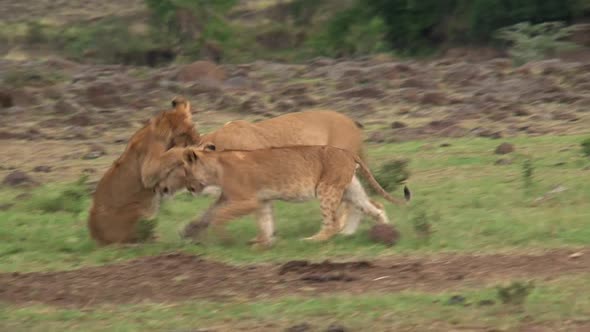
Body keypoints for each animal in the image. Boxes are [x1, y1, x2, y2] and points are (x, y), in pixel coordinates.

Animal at [86, 97, 200, 245]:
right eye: (183, 133)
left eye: (193, 127)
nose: (198, 140)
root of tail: (95, 237)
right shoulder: (149, 170)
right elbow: (176, 151)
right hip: (136, 208)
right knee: (135, 239)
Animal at [158, 145, 412, 246]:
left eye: (183, 170)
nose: (190, 188)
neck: (216, 167)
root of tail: (348, 152)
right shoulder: (261, 199)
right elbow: (265, 221)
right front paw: (264, 242)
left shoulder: (248, 199)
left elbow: (220, 216)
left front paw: (225, 239)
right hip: (350, 188)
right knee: (374, 207)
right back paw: (384, 232)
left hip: (326, 189)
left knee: (331, 223)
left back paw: (312, 240)